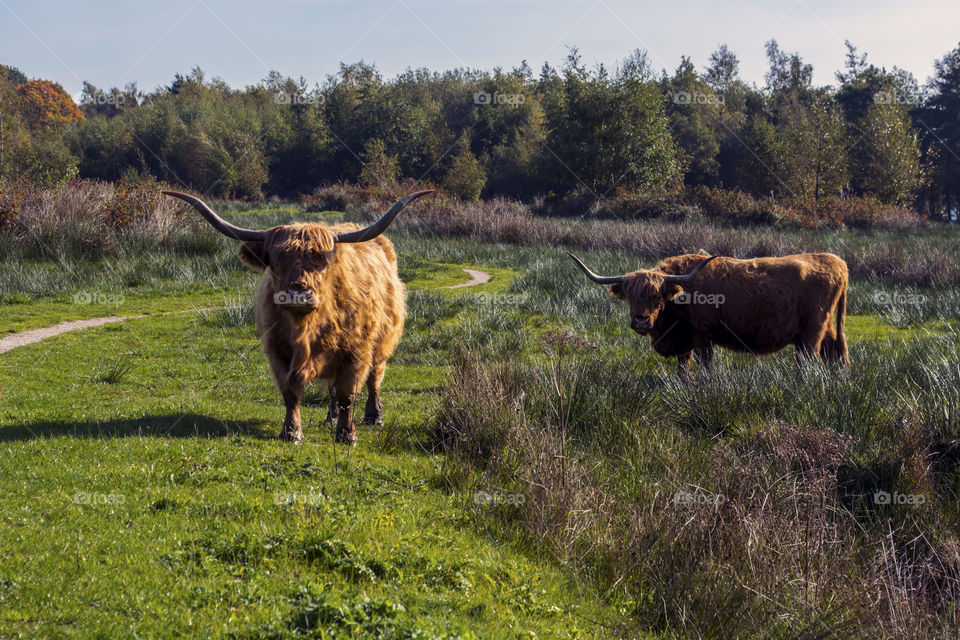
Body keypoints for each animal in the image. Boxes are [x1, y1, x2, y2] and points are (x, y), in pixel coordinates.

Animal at [167, 188, 434, 442]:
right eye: (275, 261)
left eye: (322, 260)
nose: (298, 295)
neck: (308, 329)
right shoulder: (279, 353)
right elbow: (292, 393)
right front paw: (291, 432)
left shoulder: (356, 352)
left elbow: (348, 394)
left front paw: (347, 435)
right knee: (332, 387)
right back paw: (330, 417)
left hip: (382, 343)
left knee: (374, 378)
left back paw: (373, 415)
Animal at [568, 250, 852, 376]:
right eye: (630, 296)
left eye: (657, 296)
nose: (640, 321)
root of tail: (836, 260)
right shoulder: (684, 340)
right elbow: (683, 367)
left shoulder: (703, 336)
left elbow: (704, 366)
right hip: (825, 328)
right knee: (836, 353)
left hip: (811, 332)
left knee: (808, 361)